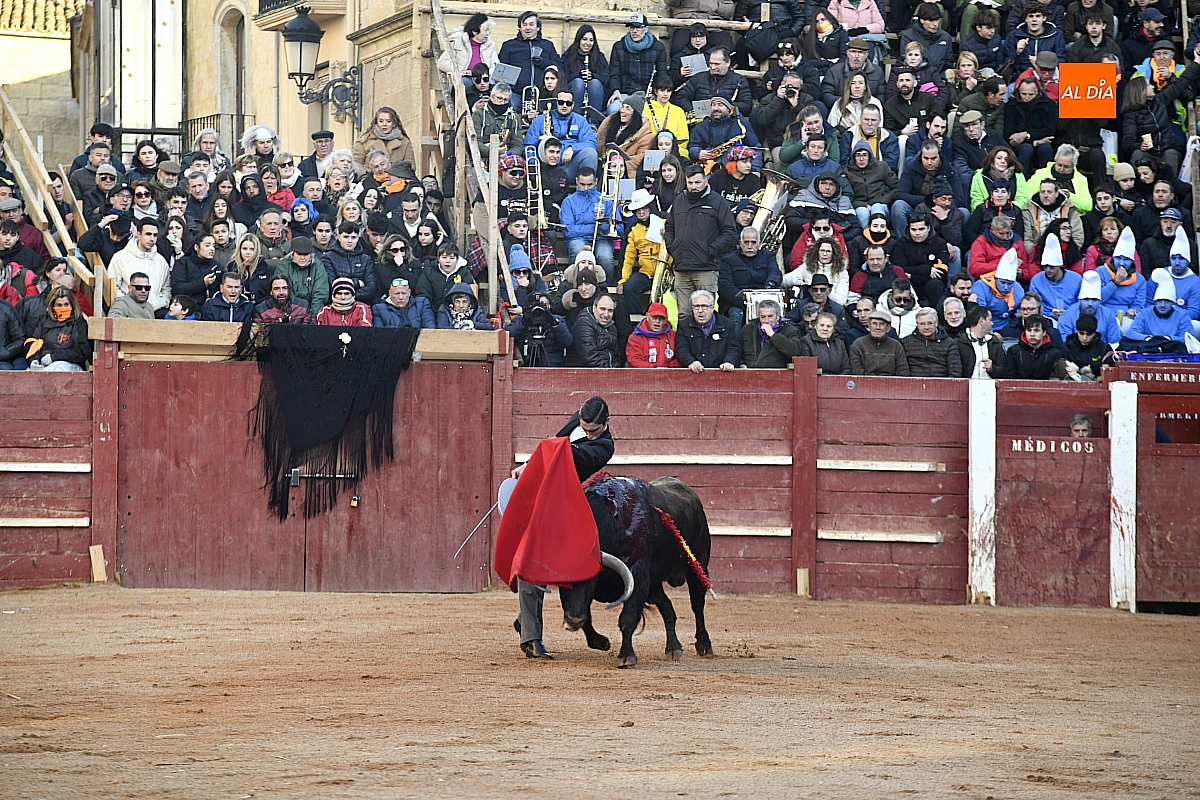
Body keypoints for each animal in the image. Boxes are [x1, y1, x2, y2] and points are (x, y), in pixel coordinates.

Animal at [559, 475, 713, 668]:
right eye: (560, 582)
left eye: (592, 579)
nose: (572, 621)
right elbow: (587, 615)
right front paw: (601, 642)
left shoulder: (638, 577)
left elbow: (628, 616)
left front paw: (626, 657)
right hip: (654, 585)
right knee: (667, 607)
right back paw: (673, 648)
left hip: (698, 566)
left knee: (697, 605)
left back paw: (704, 645)